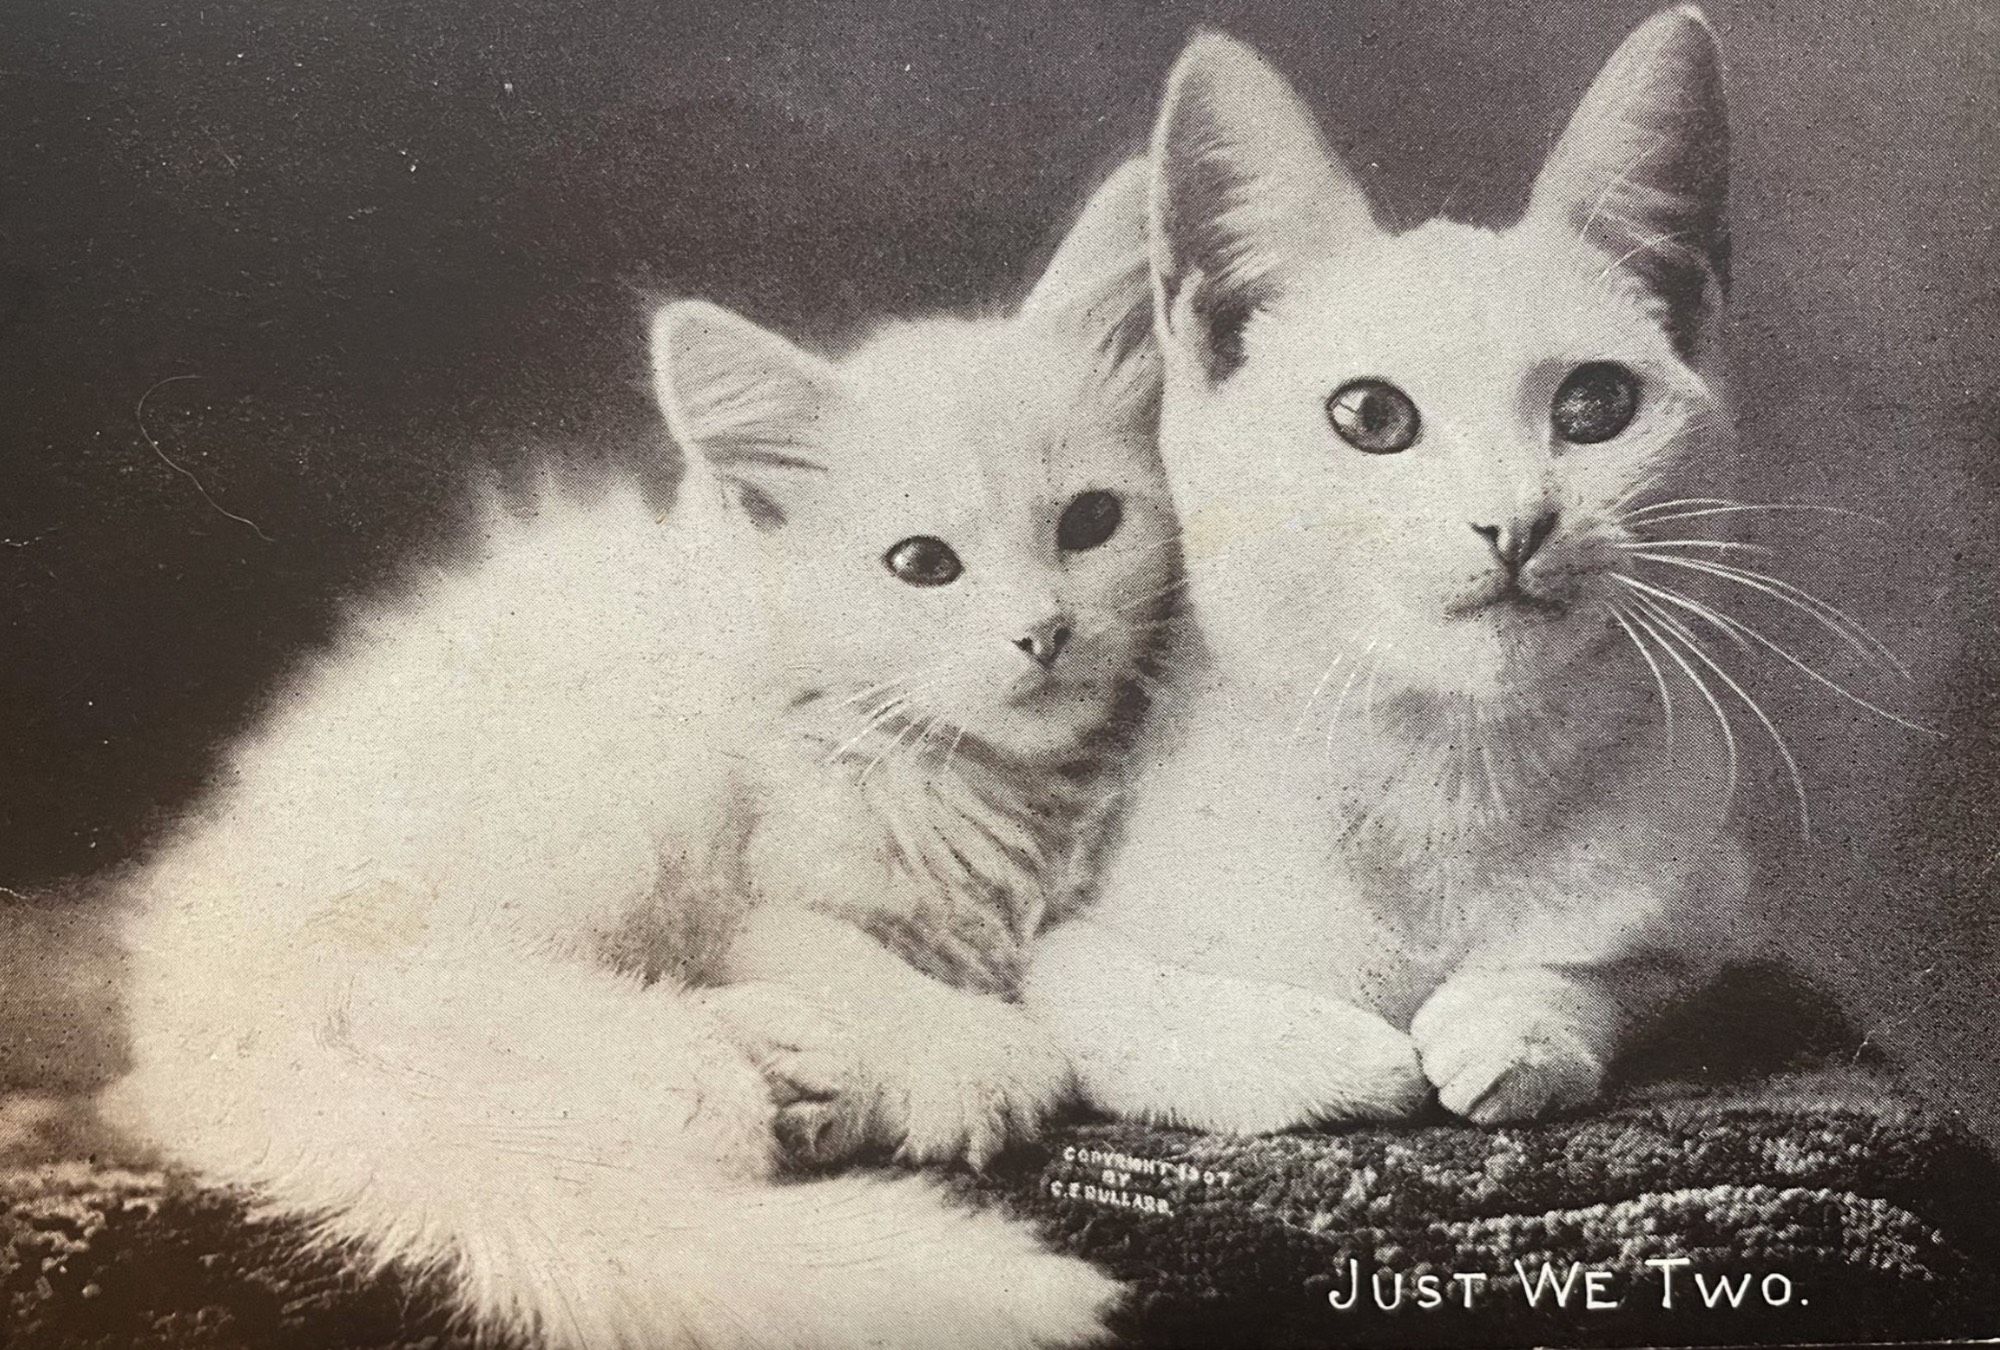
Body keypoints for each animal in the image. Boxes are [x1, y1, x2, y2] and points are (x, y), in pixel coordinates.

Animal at [105, 161, 1168, 1350]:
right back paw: (727, 1066)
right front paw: (968, 1054)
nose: (1045, 633)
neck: (961, 773)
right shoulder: (751, 897)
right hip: (590, 800)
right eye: (922, 565)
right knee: (414, 1001)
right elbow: (844, 953)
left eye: (1091, 522)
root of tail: (185, 1024)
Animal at [1032, 7, 1768, 1128]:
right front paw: (1327, 1054)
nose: (1515, 522)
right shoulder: (1044, 940)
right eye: (1371, 416)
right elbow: (1108, 995)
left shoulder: (1711, 910)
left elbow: (1621, 968)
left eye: (1595, 404)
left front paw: (1519, 1023)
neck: (1448, 776)